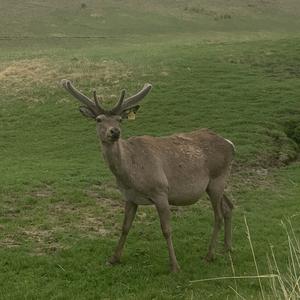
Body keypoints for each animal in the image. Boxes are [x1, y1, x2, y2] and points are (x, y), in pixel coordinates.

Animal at [61, 79, 234, 272]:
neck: (130, 175)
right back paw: (227, 247)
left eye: (119, 119)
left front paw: (175, 266)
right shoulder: (129, 197)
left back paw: (209, 255)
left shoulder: (161, 191)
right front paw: (113, 258)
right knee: (229, 207)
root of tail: (230, 144)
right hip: (217, 183)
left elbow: (166, 229)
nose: (114, 132)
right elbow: (125, 227)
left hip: (217, 179)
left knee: (218, 216)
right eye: (99, 119)